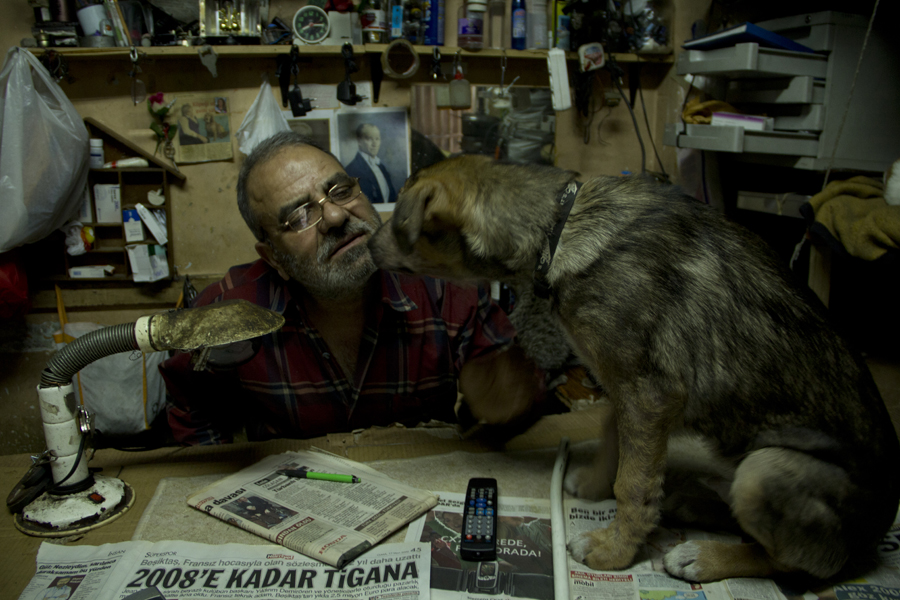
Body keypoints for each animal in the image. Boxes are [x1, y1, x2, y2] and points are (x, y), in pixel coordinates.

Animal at [370, 154, 900, 580]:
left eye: (398, 221)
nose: (366, 244)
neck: (556, 230)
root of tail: (876, 537)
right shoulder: (625, 381)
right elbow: (615, 436)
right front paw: (593, 486)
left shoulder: (650, 391)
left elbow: (636, 481)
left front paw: (614, 550)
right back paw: (692, 503)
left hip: (763, 471)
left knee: (795, 562)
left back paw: (704, 556)